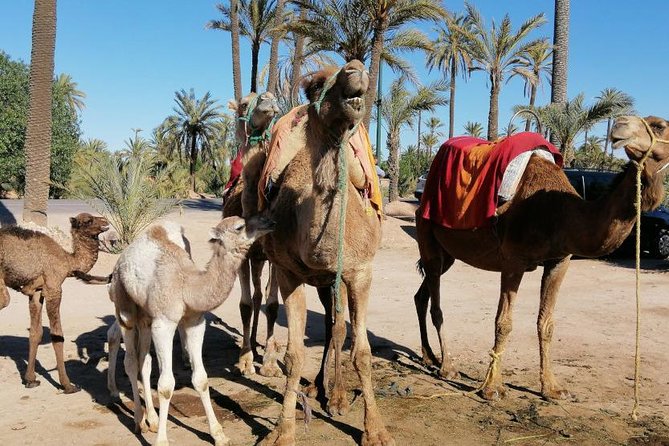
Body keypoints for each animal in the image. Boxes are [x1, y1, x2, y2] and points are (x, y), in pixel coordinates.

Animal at [0, 213, 109, 393]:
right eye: (88, 220)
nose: (105, 222)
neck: (68, 261)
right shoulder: (54, 288)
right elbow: (57, 337)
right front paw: (68, 385)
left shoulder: (37, 292)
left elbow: (36, 333)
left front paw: (30, 380)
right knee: (6, 300)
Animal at [108, 216, 274, 446]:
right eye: (240, 226)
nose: (268, 221)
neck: (187, 287)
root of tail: (123, 256)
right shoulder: (164, 323)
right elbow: (166, 386)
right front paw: (162, 441)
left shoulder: (195, 321)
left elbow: (201, 379)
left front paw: (219, 435)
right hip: (126, 308)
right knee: (131, 361)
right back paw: (139, 421)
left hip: (146, 316)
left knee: (144, 361)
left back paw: (152, 419)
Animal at [251, 60, 394, 446]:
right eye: (314, 86)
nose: (356, 70)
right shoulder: (289, 273)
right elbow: (294, 356)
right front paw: (283, 431)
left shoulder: (360, 272)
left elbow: (363, 353)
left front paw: (375, 430)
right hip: (320, 281)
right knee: (331, 325)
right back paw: (319, 388)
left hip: (336, 279)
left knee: (338, 328)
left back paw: (338, 396)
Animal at [414, 115, 669, 401]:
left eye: (660, 126)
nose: (620, 126)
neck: (561, 214)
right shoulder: (513, 259)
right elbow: (503, 322)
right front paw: (492, 388)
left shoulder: (560, 260)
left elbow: (546, 324)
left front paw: (552, 388)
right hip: (427, 234)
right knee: (436, 304)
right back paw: (447, 366)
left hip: (448, 254)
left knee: (422, 295)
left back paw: (429, 356)